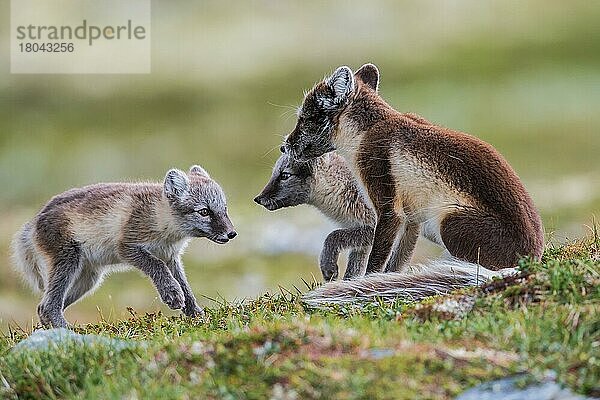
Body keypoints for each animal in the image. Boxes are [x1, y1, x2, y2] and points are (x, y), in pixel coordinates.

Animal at [11, 166, 237, 328]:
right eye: (204, 211)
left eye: (224, 209)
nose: (232, 234)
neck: (160, 219)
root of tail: (34, 221)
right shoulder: (128, 247)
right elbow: (157, 266)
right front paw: (172, 294)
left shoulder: (171, 257)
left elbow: (185, 285)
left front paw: (196, 315)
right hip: (68, 263)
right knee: (49, 306)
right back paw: (66, 331)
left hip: (88, 280)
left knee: (41, 308)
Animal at [284, 65, 544, 304]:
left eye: (304, 118)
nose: (284, 145)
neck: (366, 132)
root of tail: (529, 261)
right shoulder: (411, 219)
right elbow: (395, 264)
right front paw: (386, 283)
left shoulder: (389, 209)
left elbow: (376, 260)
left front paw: (365, 284)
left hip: (449, 222)